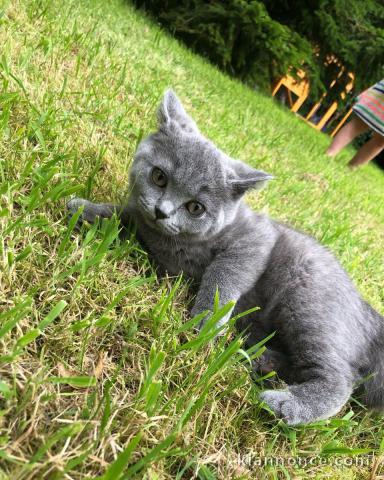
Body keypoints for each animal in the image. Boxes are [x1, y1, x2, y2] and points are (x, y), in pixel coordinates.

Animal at [67, 89, 384, 424]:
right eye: (159, 177)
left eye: (195, 207)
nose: (161, 211)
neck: (172, 241)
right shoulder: (140, 220)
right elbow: (121, 215)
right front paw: (84, 208)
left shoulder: (255, 239)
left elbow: (222, 275)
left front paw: (205, 323)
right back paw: (262, 361)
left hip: (308, 304)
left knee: (341, 379)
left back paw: (285, 403)